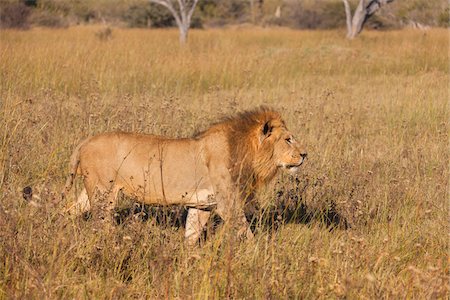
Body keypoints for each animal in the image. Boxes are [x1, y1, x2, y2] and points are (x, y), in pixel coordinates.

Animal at [62, 106, 306, 245]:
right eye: (288, 139)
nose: (305, 154)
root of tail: (85, 141)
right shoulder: (228, 204)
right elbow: (246, 233)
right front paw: (256, 255)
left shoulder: (202, 205)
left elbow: (191, 236)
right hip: (104, 193)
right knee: (100, 224)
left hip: (91, 191)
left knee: (68, 212)